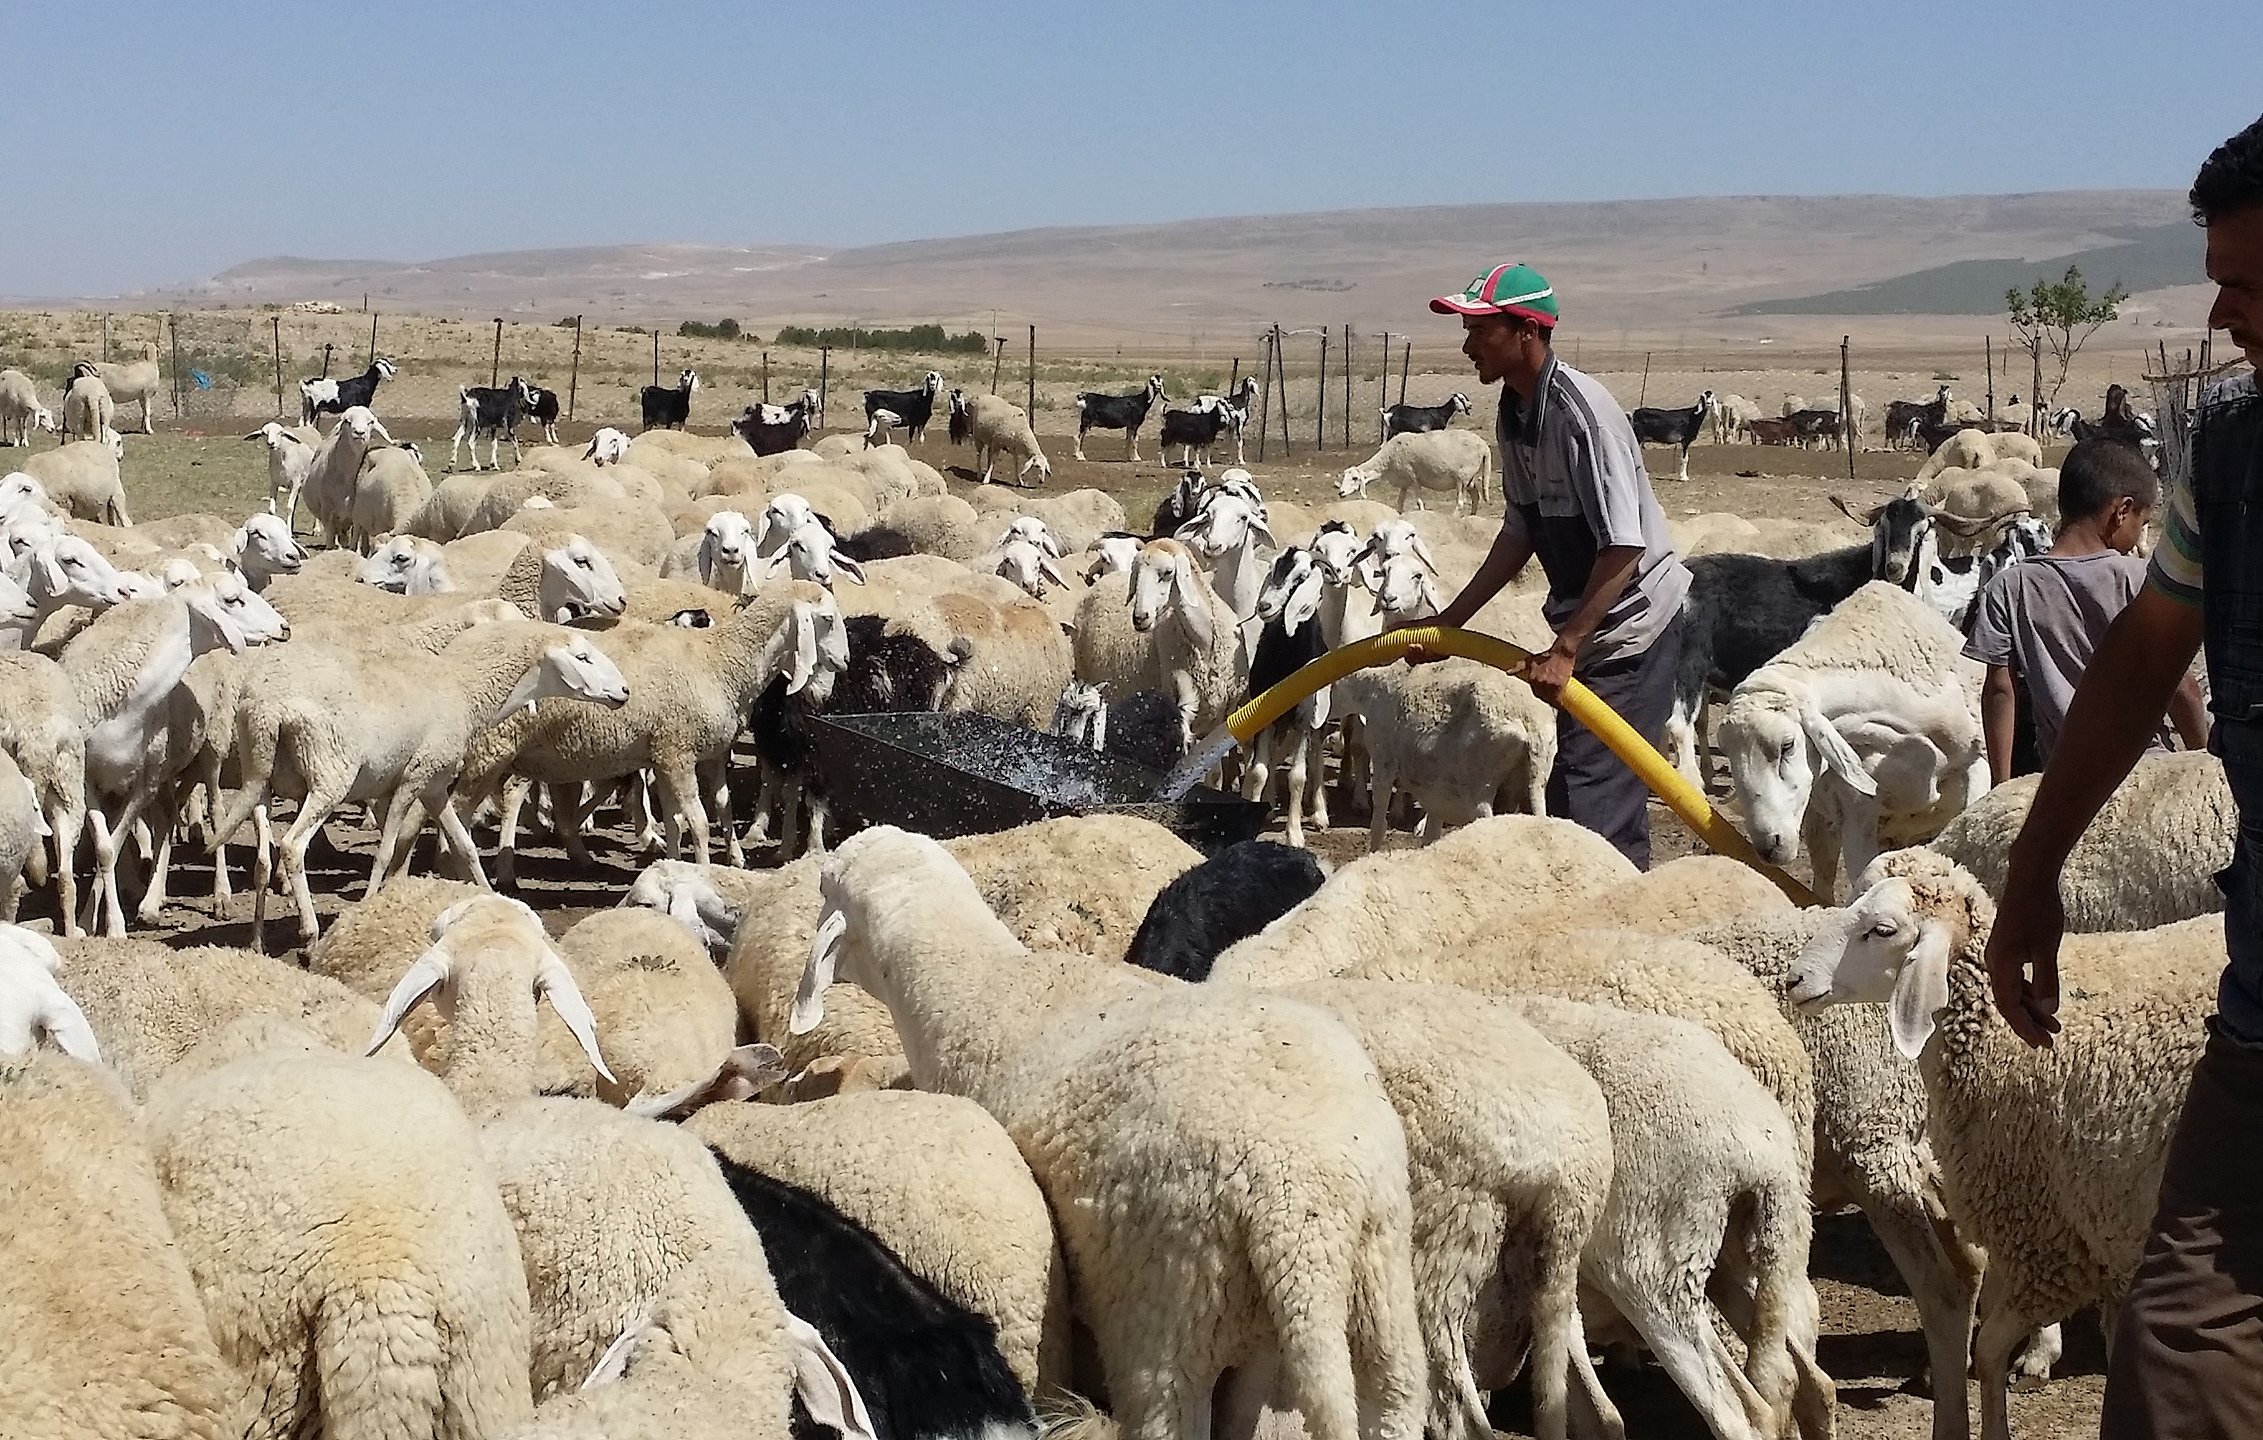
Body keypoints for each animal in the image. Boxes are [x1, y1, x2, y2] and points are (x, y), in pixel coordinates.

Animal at [797, 826, 1428, 1440]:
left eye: (826, 888)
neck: (985, 988)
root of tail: (1300, 1206)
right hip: (1372, 1289)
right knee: (1388, 1403)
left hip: (1167, 1311)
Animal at [1338, 429, 1493, 513]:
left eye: (1355, 478)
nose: (1341, 493)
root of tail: (1485, 447)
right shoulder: (1404, 482)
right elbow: (1399, 502)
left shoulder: (1413, 477)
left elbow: (1419, 502)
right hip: (1470, 479)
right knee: (1476, 496)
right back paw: (1471, 516)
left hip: (1462, 478)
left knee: (1460, 502)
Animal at [1789, 849, 2224, 1440]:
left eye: (1882, 930)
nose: (1794, 978)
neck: (2006, 1043)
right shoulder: (2105, 1247)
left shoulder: (2047, 1243)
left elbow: (1992, 1347)